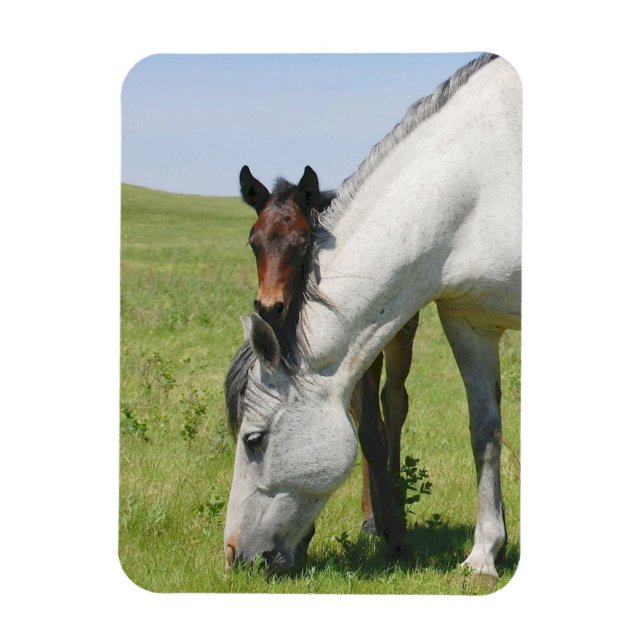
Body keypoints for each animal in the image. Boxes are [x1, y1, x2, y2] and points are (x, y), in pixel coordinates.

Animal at [236, 166, 419, 553]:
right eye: (254, 242)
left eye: (303, 243)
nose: (269, 307)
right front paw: (303, 536)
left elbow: (373, 432)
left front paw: (393, 530)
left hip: (400, 338)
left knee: (394, 405)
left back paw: (394, 501)